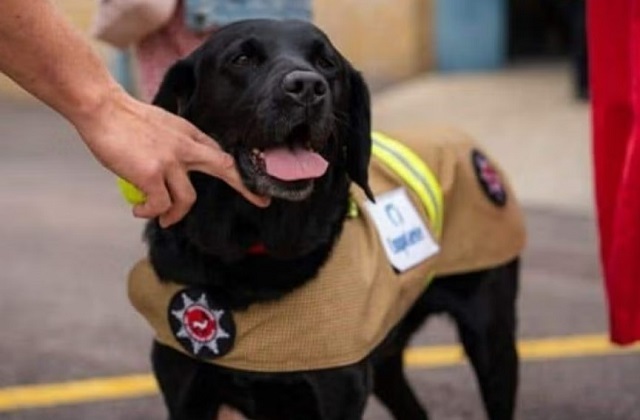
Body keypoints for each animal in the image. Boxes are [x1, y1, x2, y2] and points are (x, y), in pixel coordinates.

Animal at [138, 18, 524, 420]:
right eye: (242, 58)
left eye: (326, 64)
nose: (307, 87)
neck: (251, 255)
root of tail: (458, 135)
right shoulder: (185, 390)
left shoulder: (339, 391)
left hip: (491, 338)